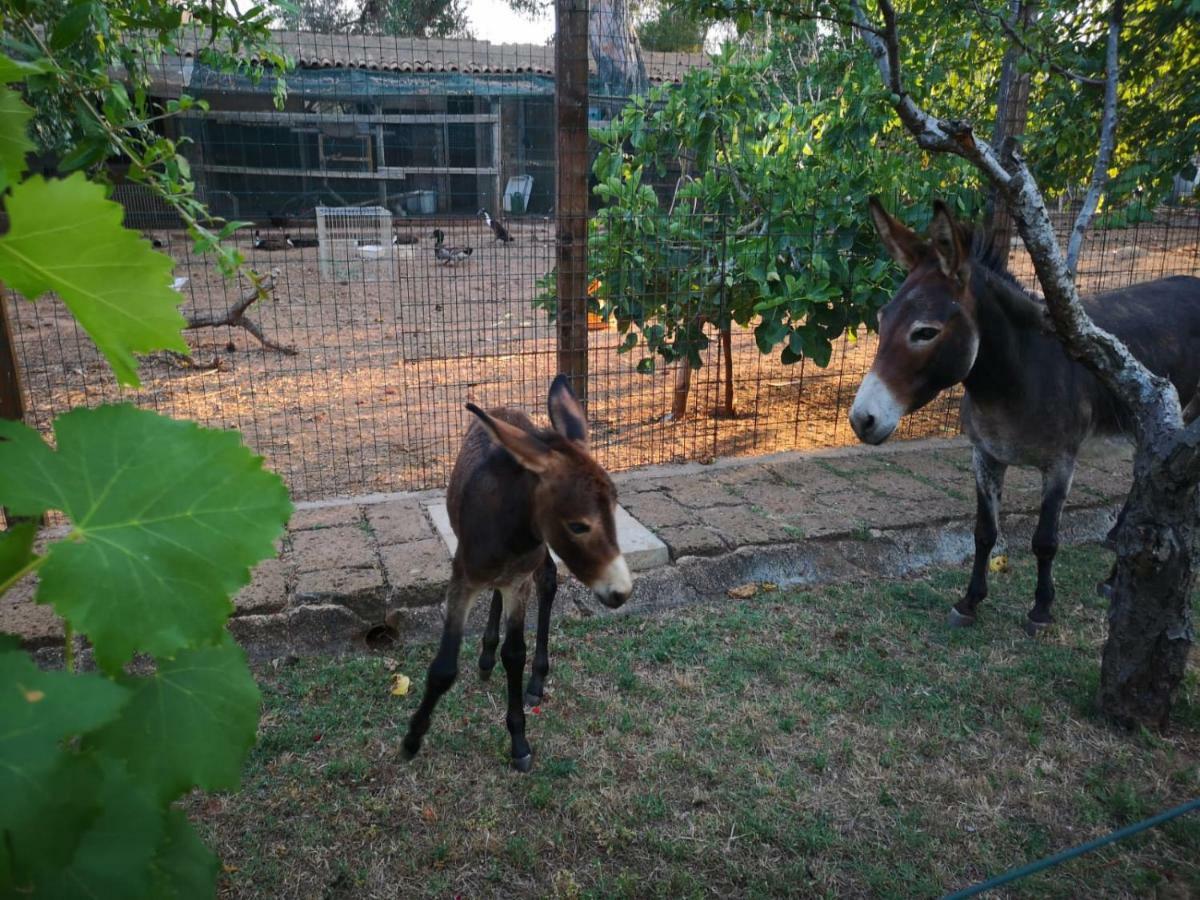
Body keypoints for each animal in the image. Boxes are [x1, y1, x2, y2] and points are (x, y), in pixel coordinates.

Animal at [400, 376, 633, 772]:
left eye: (615, 510)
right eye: (578, 525)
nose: (621, 592)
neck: (508, 532)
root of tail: (506, 411)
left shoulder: (518, 581)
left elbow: (515, 654)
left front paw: (519, 741)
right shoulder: (462, 579)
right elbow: (444, 667)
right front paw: (412, 740)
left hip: (531, 566)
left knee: (547, 580)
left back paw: (534, 680)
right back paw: (485, 657)